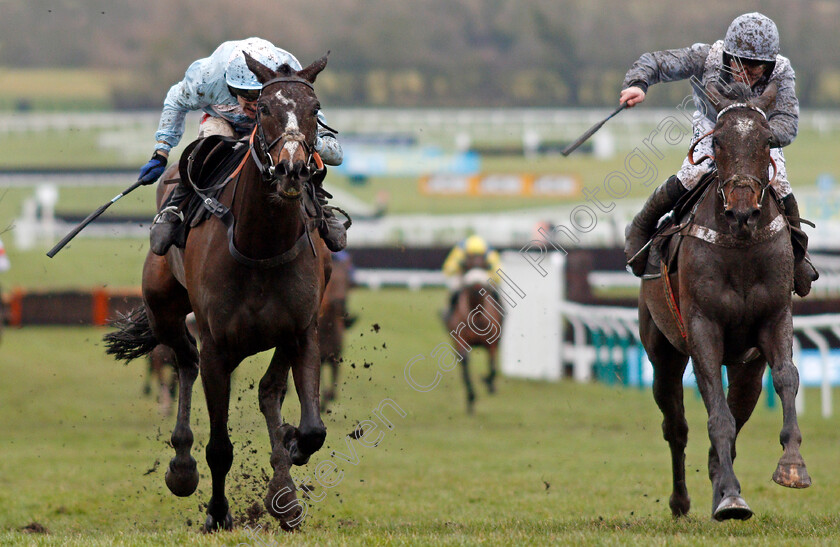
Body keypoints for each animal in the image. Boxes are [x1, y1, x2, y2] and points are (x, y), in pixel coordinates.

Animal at [107, 53, 334, 532]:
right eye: (264, 108)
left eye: (315, 107)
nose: (291, 168)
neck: (260, 246)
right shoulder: (217, 345)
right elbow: (219, 447)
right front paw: (216, 512)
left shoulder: (303, 330)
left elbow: (311, 429)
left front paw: (291, 455)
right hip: (164, 310)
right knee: (185, 362)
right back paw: (182, 467)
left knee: (268, 391)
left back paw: (284, 492)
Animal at [446, 268, 506, 414]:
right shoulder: (461, 341)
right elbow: (466, 364)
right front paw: (471, 398)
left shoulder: (491, 344)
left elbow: (492, 368)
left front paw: (487, 382)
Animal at [640, 82, 812, 524]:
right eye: (716, 141)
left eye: (767, 140)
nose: (742, 213)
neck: (741, 249)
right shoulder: (702, 327)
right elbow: (716, 411)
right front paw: (732, 496)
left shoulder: (774, 319)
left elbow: (787, 377)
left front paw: (792, 466)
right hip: (662, 351)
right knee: (676, 425)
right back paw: (683, 501)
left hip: (747, 368)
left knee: (739, 410)